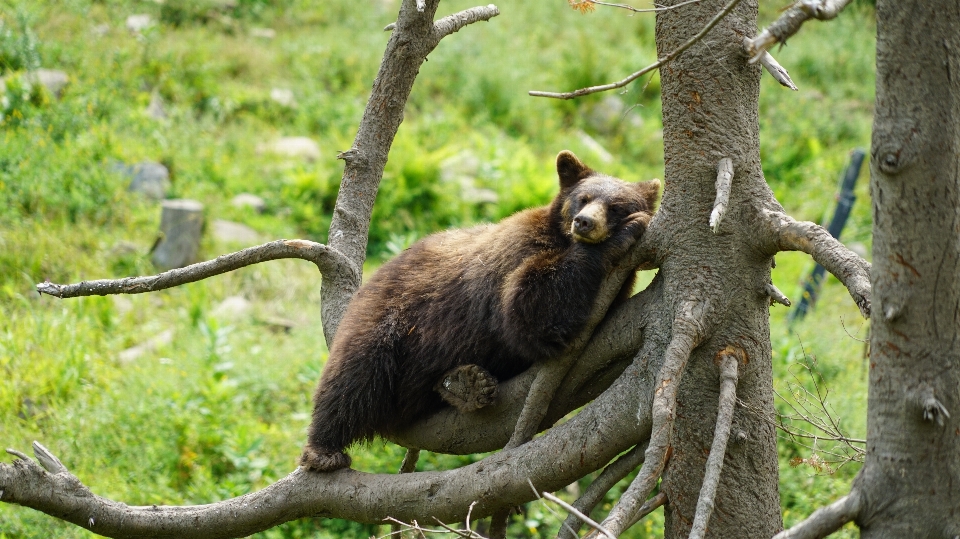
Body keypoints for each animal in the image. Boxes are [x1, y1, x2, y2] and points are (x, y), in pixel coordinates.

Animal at [300, 151, 660, 472]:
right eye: (582, 198)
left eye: (615, 206)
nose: (584, 222)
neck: (560, 239)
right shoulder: (516, 256)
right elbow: (531, 312)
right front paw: (624, 234)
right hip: (392, 322)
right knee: (353, 378)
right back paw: (323, 450)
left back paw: (466, 383)